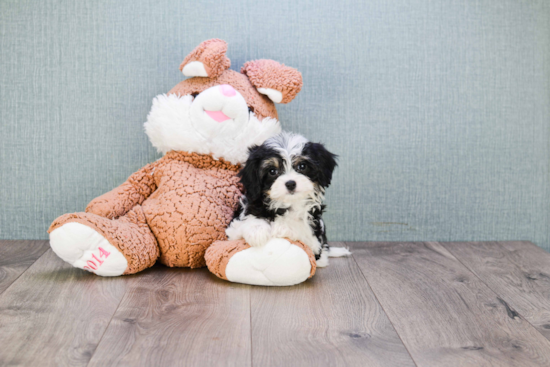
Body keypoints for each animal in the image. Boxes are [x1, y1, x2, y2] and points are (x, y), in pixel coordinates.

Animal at [226, 132, 352, 268]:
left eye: (302, 166)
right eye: (272, 171)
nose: (290, 183)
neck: (288, 204)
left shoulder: (313, 233)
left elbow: (300, 228)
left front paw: (281, 227)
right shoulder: (233, 229)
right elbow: (245, 222)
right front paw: (257, 231)